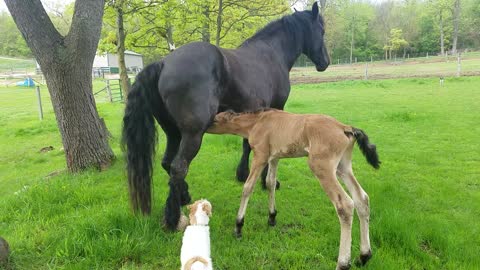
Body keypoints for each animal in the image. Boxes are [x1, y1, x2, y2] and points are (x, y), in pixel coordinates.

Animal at [122, 2, 330, 230]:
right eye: (322, 30)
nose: (325, 62)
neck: (271, 54)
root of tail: (163, 63)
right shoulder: (275, 110)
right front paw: (268, 182)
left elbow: (247, 145)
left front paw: (242, 174)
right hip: (192, 135)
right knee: (178, 167)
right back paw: (172, 218)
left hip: (173, 133)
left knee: (168, 163)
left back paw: (184, 196)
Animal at [208, 109, 380, 270]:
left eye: (215, 119)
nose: (205, 126)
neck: (257, 122)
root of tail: (345, 128)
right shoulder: (275, 157)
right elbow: (270, 183)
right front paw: (272, 218)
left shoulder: (261, 156)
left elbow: (247, 187)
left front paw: (238, 227)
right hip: (343, 167)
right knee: (362, 198)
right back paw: (364, 256)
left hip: (321, 166)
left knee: (345, 205)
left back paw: (343, 263)